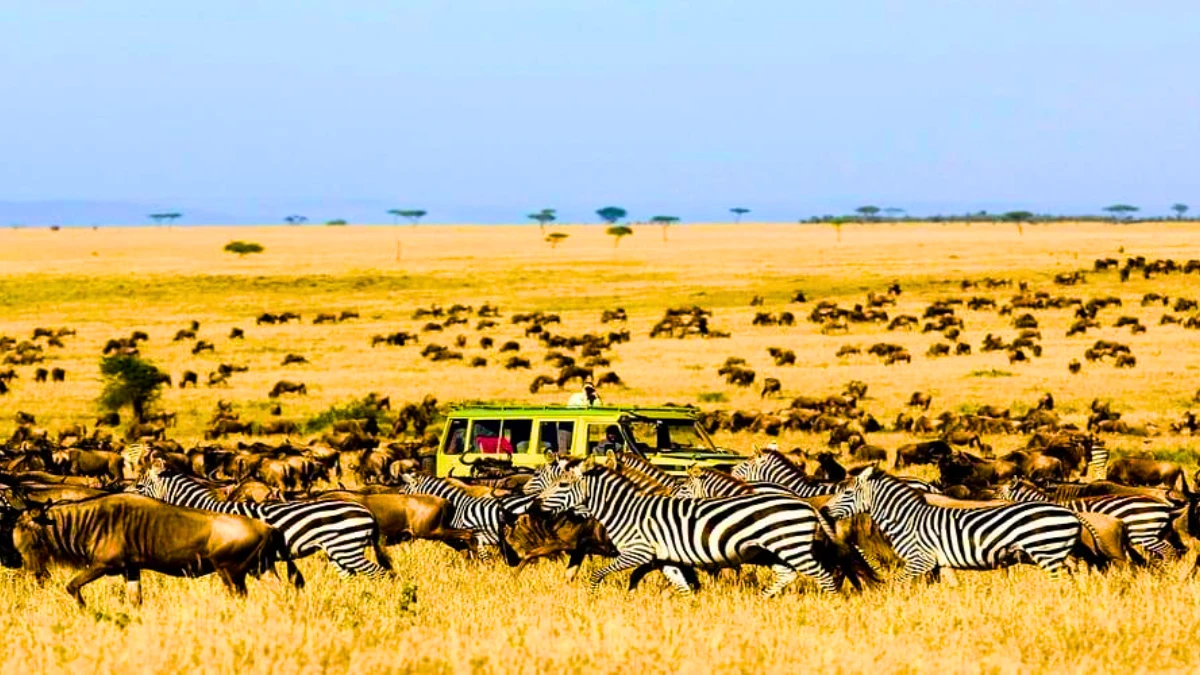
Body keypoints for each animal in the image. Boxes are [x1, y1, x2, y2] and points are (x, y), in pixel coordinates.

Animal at [535, 456, 835, 593]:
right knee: (788, 575)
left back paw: (829, 605)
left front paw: (592, 597)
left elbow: (599, 574)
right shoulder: (664, 557)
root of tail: (806, 504)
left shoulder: (638, 552)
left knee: (824, 575)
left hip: (790, 547)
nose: (536, 505)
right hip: (774, 550)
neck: (626, 510)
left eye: (562, 485)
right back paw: (764, 600)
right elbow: (682, 585)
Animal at [825, 468, 1089, 578]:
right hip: (1058, 552)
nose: (825, 509)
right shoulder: (940, 562)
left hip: (1047, 552)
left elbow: (899, 585)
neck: (908, 519)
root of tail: (1070, 514)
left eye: (846, 492)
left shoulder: (919, 560)